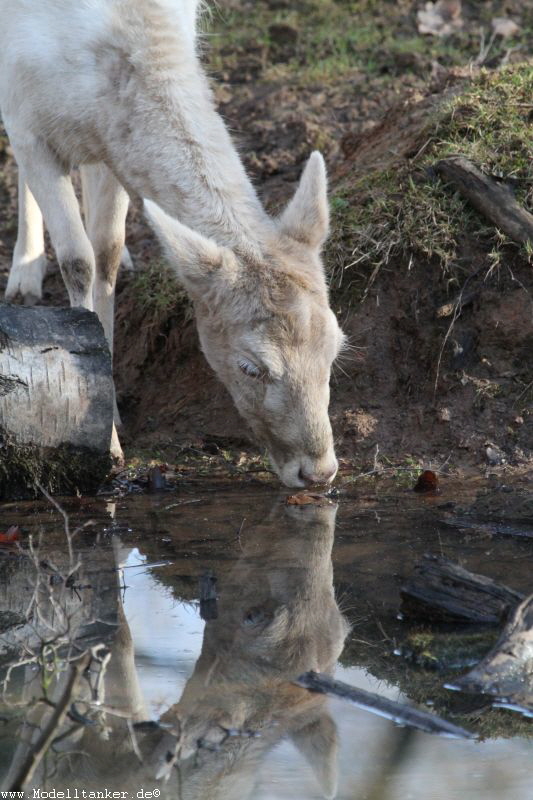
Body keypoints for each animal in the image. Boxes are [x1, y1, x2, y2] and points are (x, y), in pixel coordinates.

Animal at [0, 0, 344, 488]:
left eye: (335, 347)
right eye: (251, 366)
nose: (319, 472)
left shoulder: (110, 139)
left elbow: (104, 249)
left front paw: (112, 411)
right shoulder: (28, 123)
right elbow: (77, 260)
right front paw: (108, 443)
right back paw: (24, 277)